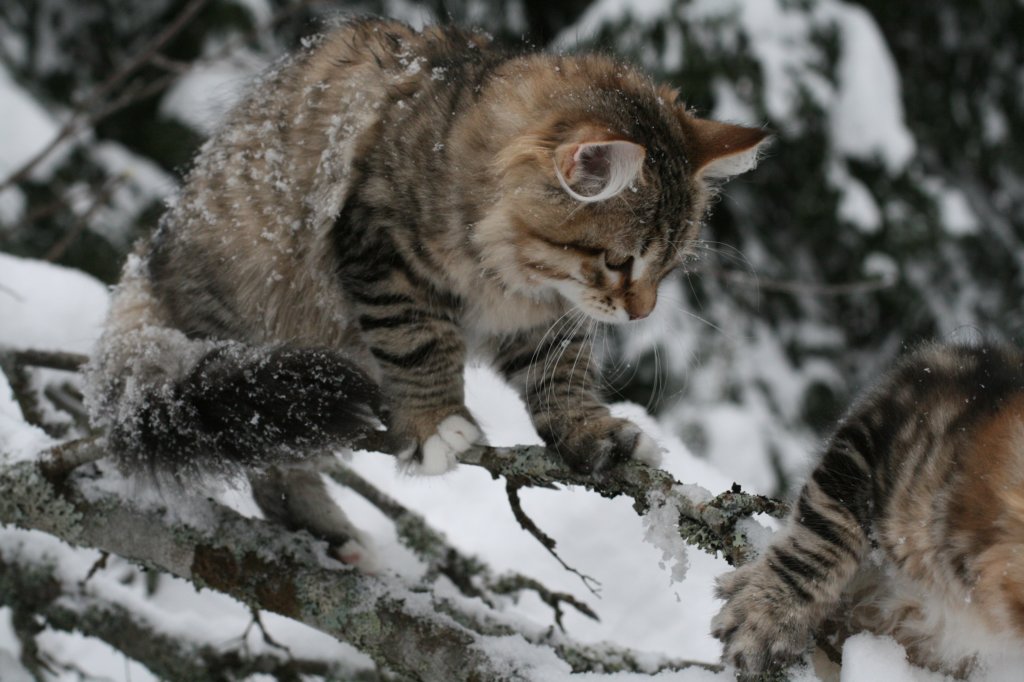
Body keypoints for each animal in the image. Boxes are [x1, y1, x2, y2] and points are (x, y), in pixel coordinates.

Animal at [85, 17, 768, 565]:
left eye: (667, 267)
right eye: (618, 262)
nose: (640, 313)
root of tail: (153, 254)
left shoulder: (542, 320)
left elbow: (562, 377)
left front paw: (592, 433)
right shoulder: (380, 251)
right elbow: (419, 341)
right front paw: (436, 422)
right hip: (256, 339)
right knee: (269, 461)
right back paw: (333, 534)